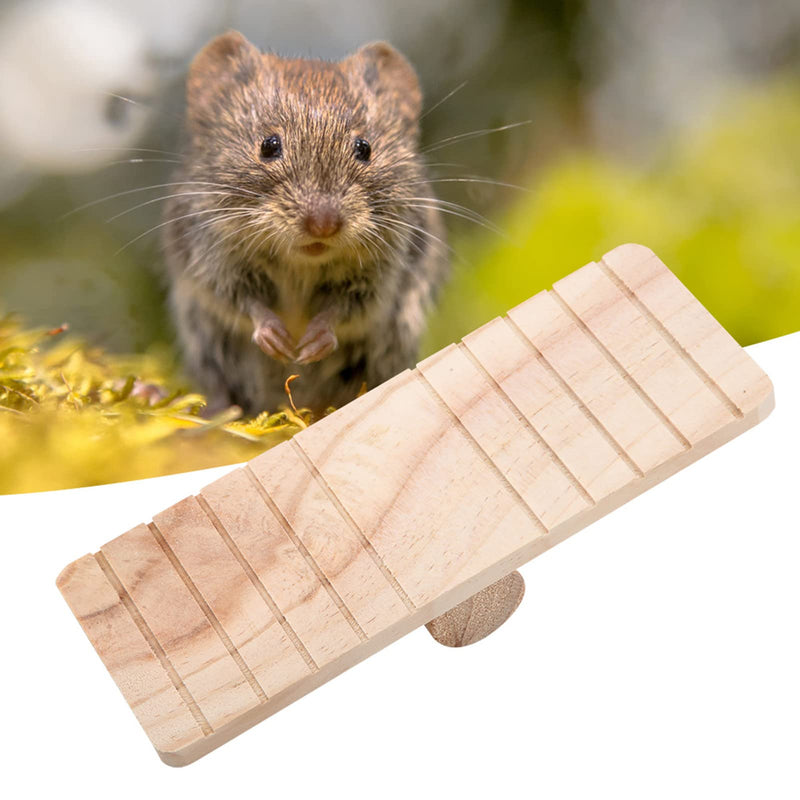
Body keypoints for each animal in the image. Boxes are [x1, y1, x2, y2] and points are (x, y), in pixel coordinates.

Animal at [162, 30, 449, 416]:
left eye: (365, 148)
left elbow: (345, 311)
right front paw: (277, 339)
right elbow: (243, 303)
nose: (323, 225)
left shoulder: (381, 277)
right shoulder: (213, 261)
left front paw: (312, 343)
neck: (302, 263)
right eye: (268, 145)